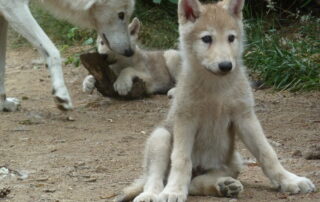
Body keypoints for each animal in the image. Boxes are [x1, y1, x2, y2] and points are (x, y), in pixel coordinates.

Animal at [0, 0, 135, 111]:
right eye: (121, 15)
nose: (130, 52)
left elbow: (2, 65)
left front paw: (4, 104)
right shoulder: (12, 5)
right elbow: (53, 51)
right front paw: (62, 94)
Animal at [116, 0, 316, 202]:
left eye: (231, 38)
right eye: (206, 39)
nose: (226, 66)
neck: (216, 87)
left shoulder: (245, 117)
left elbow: (267, 153)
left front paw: (290, 180)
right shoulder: (186, 119)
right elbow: (181, 159)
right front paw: (174, 190)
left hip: (234, 163)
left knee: (195, 183)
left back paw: (225, 186)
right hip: (161, 137)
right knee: (155, 178)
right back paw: (152, 194)